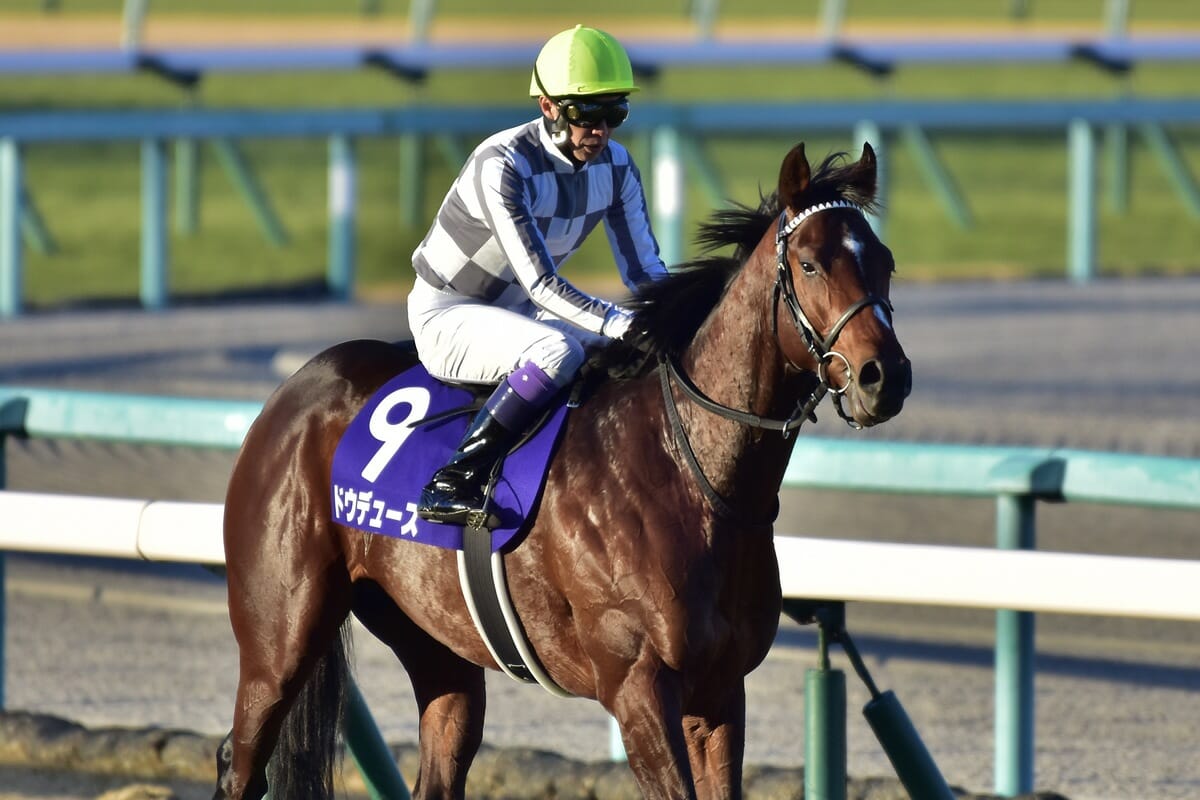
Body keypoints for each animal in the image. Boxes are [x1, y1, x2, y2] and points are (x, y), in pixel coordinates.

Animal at [213, 141, 911, 800]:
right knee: (240, 759)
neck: (687, 473)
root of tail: (293, 391)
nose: (885, 378)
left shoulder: (720, 691)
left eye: (885, 261)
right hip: (280, 638)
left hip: (435, 643)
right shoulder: (638, 689)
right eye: (810, 263)